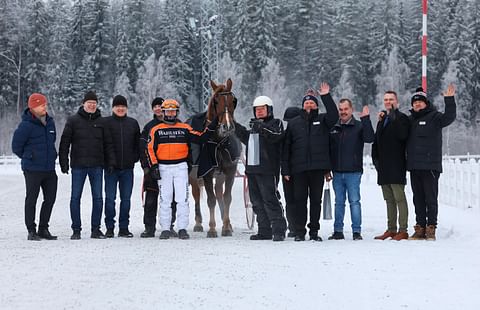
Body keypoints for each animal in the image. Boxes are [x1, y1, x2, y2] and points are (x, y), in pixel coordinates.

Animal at [188, 78, 240, 237]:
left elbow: (226, 197)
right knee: (197, 195)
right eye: (216, 101)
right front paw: (212, 228)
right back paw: (198, 223)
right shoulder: (207, 173)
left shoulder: (230, 172)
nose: (227, 127)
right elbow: (210, 200)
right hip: (193, 176)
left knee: (219, 194)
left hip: (220, 175)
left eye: (233, 100)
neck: (218, 143)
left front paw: (226, 227)